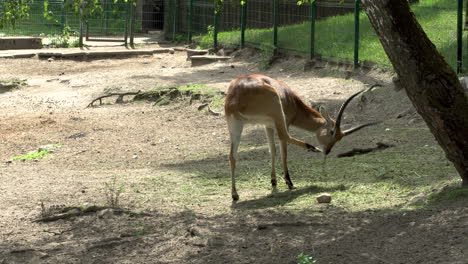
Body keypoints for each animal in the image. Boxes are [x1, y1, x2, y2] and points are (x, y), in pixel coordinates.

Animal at [224, 74, 380, 200]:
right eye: (332, 132)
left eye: (339, 138)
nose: (328, 151)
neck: (292, 101)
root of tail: (235, 99)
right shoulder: (284, 122)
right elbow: (283, 152)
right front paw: (288, 182)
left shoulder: (267, 126)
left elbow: (272, 150)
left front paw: (273, 181)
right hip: (277, 115)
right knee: (284, 137)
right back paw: (310, 151)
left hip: (236, 126)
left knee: (232, 156)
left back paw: (235, 195)